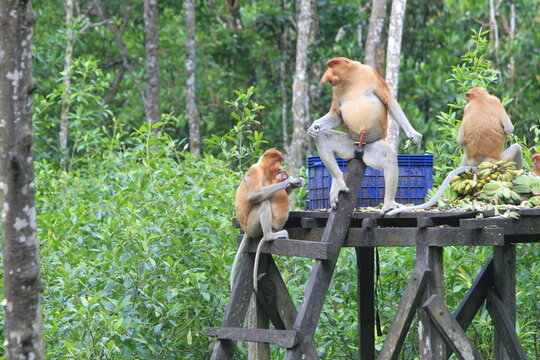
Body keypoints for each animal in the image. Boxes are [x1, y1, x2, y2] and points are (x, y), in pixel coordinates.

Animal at [229, 150, 304, 292]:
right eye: (276, 161)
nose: (280, 168)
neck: (263, 169)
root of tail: (245, 229)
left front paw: (298, 182)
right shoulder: (255, 171)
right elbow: (254, 195)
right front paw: (290, 180)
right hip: (252, 226)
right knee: (263, 202)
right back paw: (270, 235)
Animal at [308, 57, 422, 212]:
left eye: (332, 66)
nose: (325, 77)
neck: (350, 79)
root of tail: (360, 149)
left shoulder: (371, 75)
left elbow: (389, 100)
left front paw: (413, 135)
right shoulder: (336, 90)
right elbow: (337, 114)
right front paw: (313, 127)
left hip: (372, 149)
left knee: (388, 155)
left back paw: (389, 204)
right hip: (349, 145)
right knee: (322, 138)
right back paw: (339, 182)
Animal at [388, 86, 524, 217]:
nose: (465, 99)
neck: (480, 99)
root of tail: (480, 165)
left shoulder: (467, 109)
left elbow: (461, 140)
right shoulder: (495, 101)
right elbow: (509, 128)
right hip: (501, 159)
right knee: (517, 148)